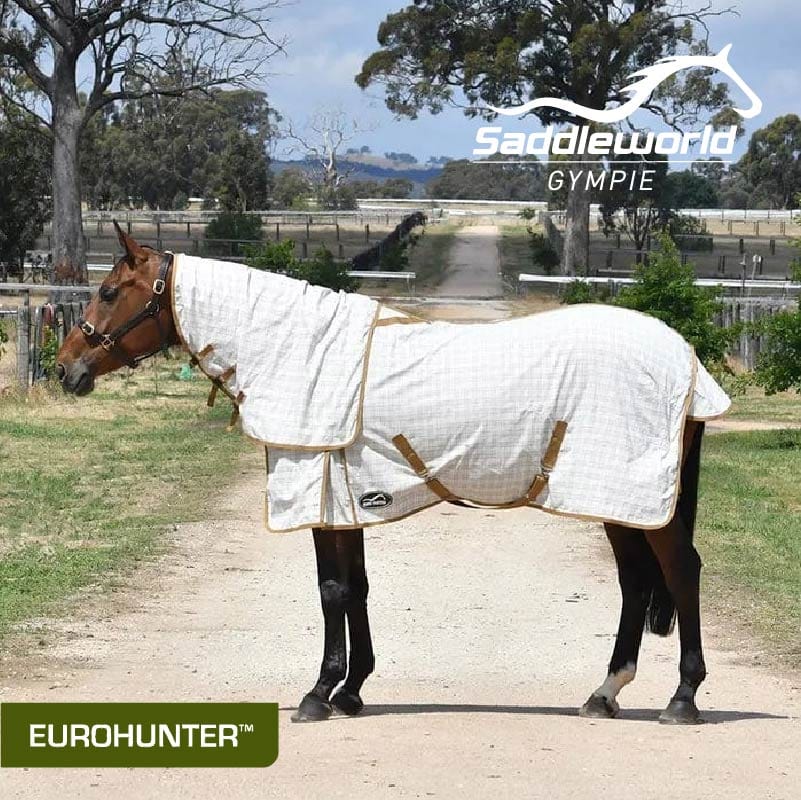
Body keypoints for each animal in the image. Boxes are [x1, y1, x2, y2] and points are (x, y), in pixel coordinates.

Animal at [57, 223, 722, 725]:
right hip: (616, 500)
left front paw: (319, 694)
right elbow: (356, 588)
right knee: (636, 582)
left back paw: (682, 699)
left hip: (636, 499)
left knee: (679, 571)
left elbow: (331, 590)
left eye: (111, 291)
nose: (65, 368)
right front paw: (352, 691)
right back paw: (603, 695)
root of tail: (687, 362)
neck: (297, 352)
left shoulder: (319, 491)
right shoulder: (346, 497)